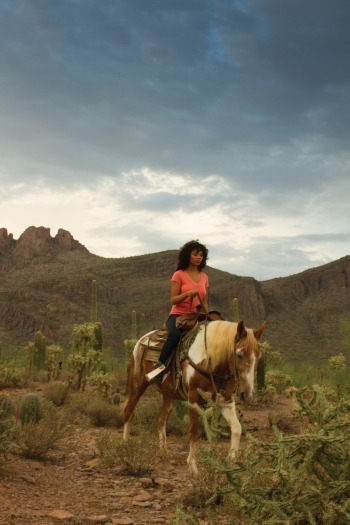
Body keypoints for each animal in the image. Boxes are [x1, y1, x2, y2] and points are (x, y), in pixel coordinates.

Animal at [122, 318, 266, 472]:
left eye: (258, 356)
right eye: (239, 355)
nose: (248, 394)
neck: (210, 362)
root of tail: (142, 339)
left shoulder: (225, 400)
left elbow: (237, 428)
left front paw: (230, 462)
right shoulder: (193, 399)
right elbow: (194, 432)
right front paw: (193, 467)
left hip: (169, 395)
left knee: (161, 420)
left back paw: (165, 460)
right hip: (137, 385)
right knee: (128, 412)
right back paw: (126, 450)